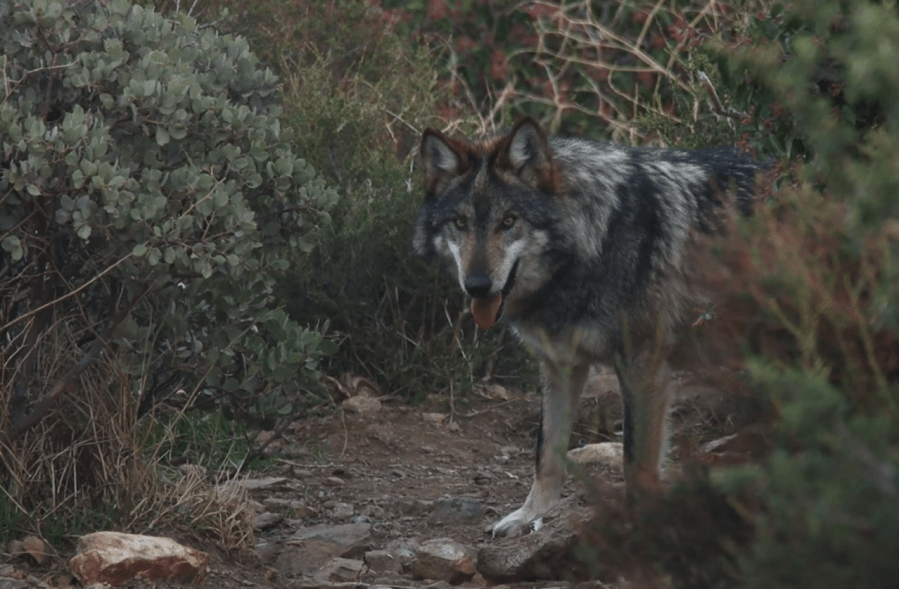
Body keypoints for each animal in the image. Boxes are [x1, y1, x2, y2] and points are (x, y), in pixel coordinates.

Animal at [414, 116, 760, 536]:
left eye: (508, 221)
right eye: (460, 223)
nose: (477, 286)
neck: (596, 240)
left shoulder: (643, 366)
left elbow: (635, 461)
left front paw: (641, 526)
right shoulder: (560, 364)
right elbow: (546, 451)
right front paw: (529, 515)